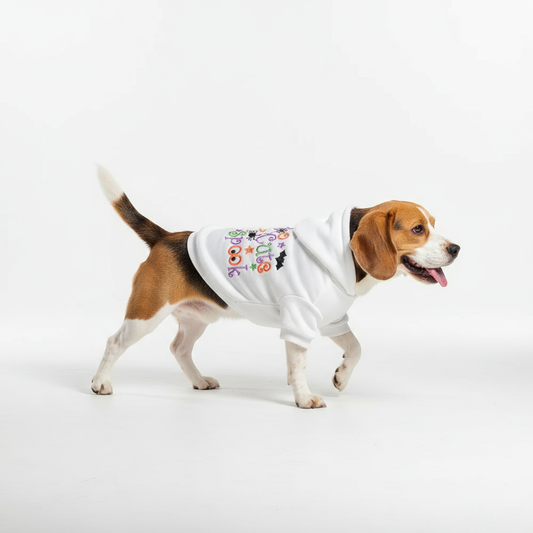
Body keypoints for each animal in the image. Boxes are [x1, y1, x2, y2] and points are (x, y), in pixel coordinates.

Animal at [91, 166, 460, 408]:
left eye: (433, 225)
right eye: (417, 229)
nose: (456, 248)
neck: (344, 252)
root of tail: (166, 237)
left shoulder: (331, 320)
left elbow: (355, 348)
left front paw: (341, 376)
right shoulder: (298, 318)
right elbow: (299, 364)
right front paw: (304, 397)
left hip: (198, 318)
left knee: (179, 348)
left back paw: (198, 381)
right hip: (145, 313)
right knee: (114, 342)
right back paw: (100, 383)